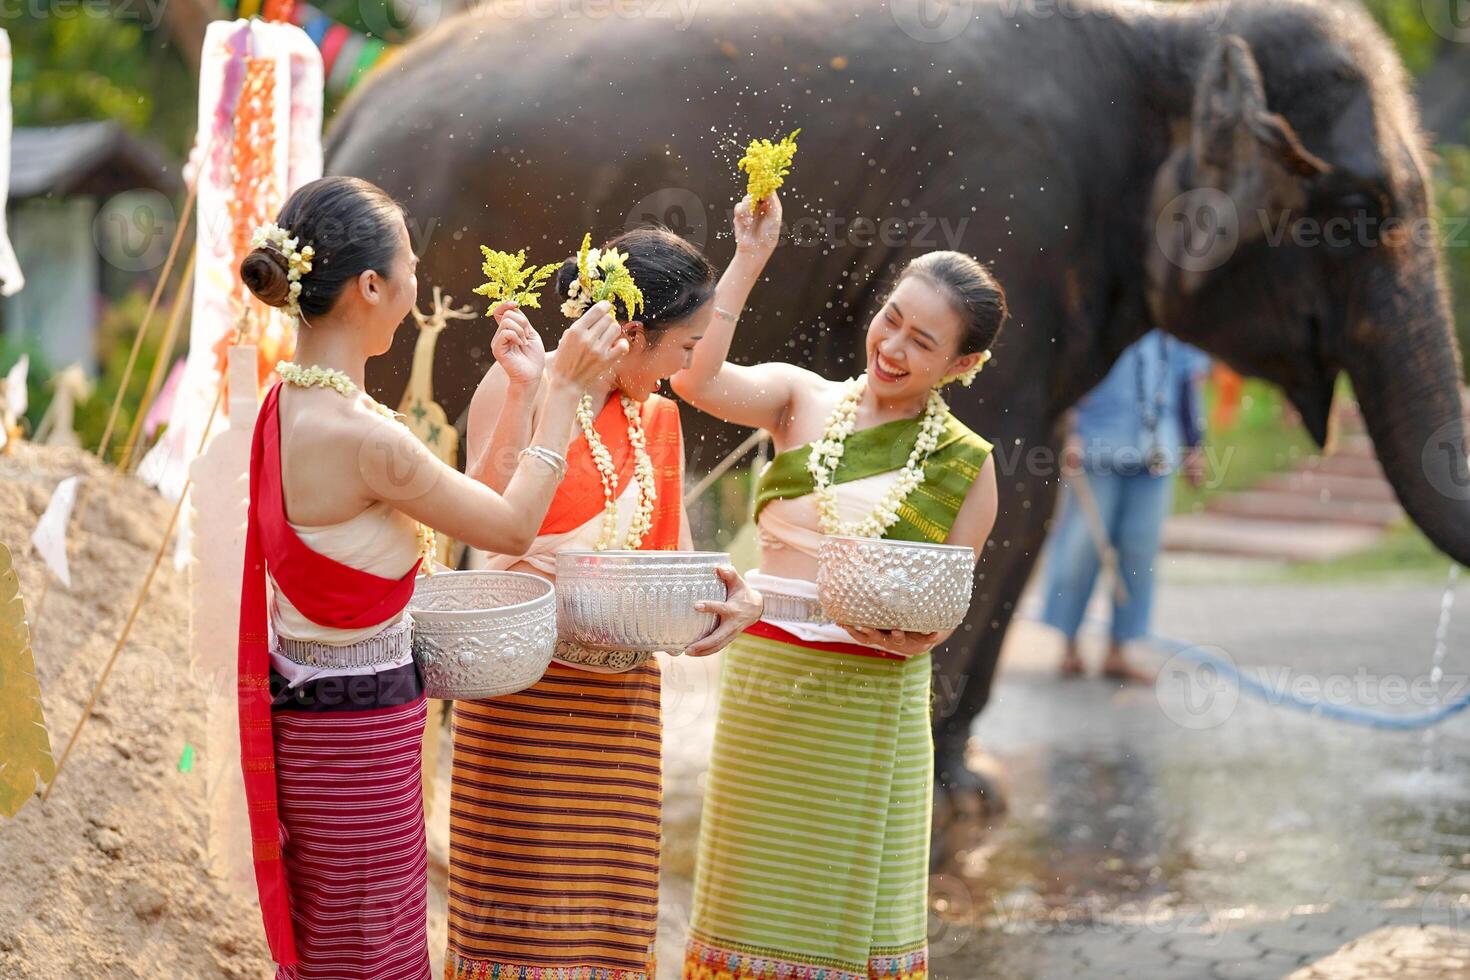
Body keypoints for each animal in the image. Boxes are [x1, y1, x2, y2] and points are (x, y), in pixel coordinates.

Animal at [330, 0, 1470, 822]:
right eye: (1362, 209)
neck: (1173, 35)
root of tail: (357, 110)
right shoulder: (1014, 205)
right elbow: (1021, 489)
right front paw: (964, 799)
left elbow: (1024, 492)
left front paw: (966, 787)